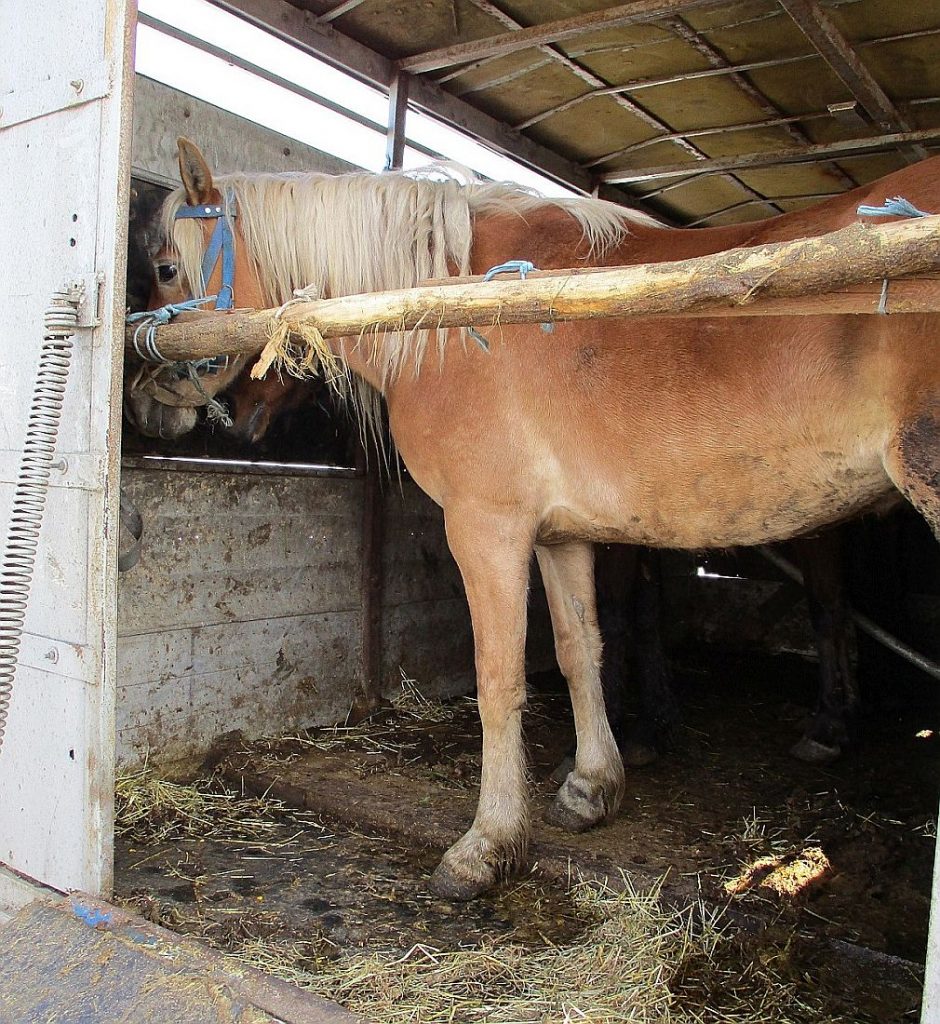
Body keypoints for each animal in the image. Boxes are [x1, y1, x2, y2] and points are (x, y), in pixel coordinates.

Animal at [150, 138, 940, 897]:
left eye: (163, 268)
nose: (150, 403)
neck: (454, 311)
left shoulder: (486, 527)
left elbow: (499, 679)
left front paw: (488, 845)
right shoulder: (562, 537)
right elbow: (578, 650)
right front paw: (592, 787)